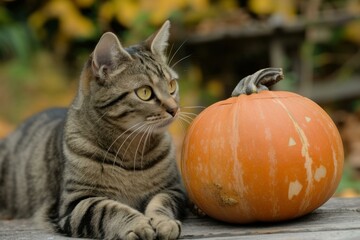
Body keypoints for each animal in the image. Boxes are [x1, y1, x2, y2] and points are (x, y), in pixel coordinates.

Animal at [0, 21, 186, 240]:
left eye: (172, 85)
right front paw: (139, 224)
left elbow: (161, 203)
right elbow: (110, 209)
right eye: (145, 92)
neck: (131, 150)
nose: (174, 109)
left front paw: (164, 222)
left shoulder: (173, 190)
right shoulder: (75, 203)